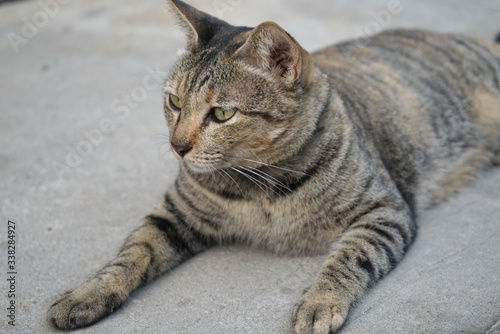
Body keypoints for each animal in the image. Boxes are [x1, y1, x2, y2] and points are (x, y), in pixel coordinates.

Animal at [47, 1, 500, 332]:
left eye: (222, 113)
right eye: (174, 102)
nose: (177, 147)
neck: (259, 187)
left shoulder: (384, 210)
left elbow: (348, 257)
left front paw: (319, 301)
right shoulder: (172, 214)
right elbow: (131, 253)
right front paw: (87, 293)